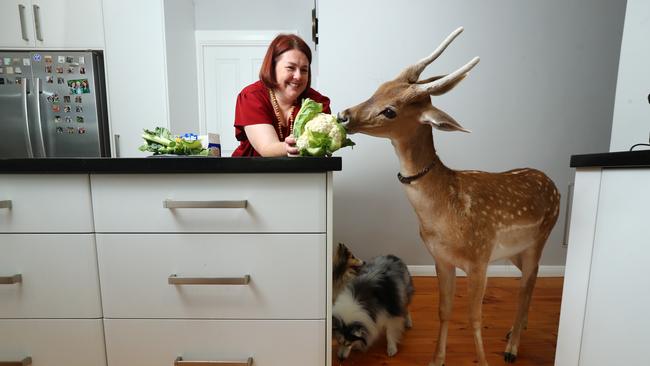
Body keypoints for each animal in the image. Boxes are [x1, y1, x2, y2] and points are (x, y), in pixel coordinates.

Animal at [336, 26, 560, 366]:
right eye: (380, 87)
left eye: (390, 110)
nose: (343, 115)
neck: (443, 213)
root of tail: (554, 183)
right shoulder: (441, 258)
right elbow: (444, 310)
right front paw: (436, 359)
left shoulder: (480, 257)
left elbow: (475, 318)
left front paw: (483, 361)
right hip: (515, 251)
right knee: (529, 280)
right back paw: (513, 332)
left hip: (541, 236)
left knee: (528, 282)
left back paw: (511, 348)